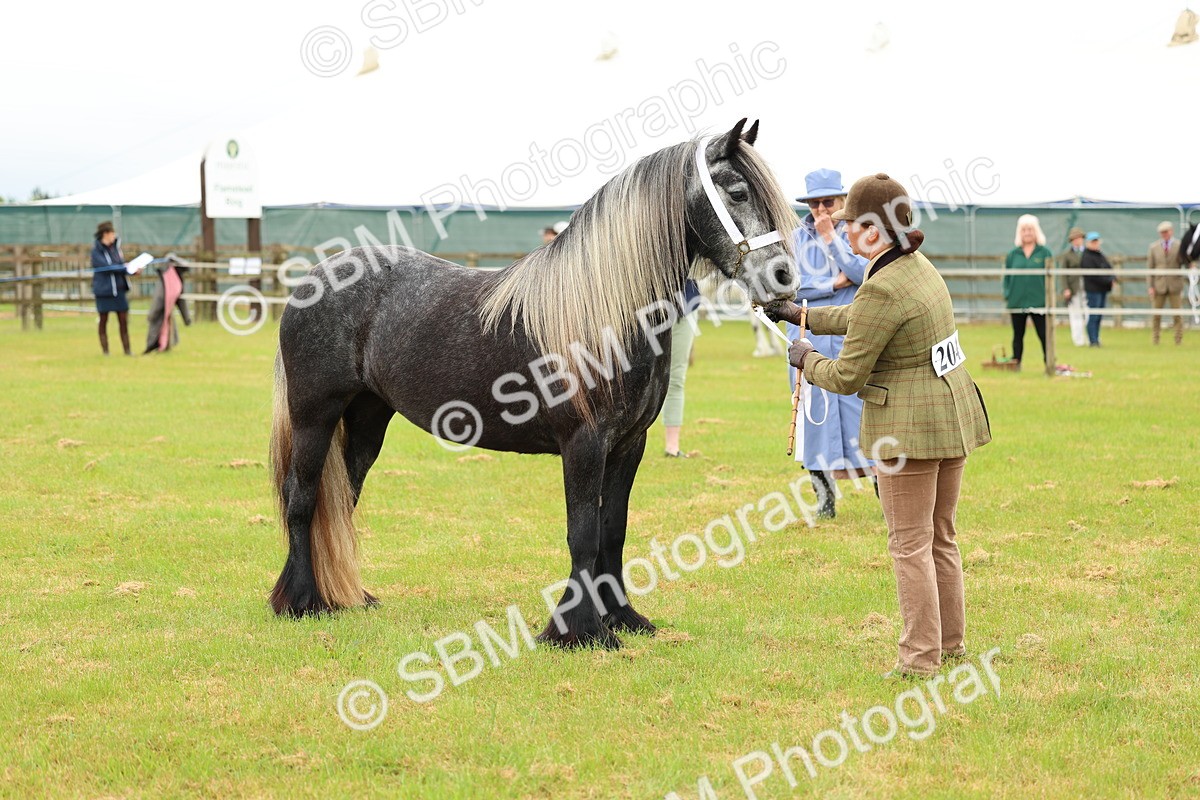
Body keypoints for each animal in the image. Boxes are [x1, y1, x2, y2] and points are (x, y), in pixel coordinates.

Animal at [268, 119, 800, 649]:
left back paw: (345, 597)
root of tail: (314, 278)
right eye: (737, 192)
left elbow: (613, 530)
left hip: (366, 420)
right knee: (303, 498)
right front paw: (578, 630)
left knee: (342, 501)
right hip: (315, 416)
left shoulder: (629, 444)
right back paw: (301, 602)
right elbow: (582, 534)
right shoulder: (584, 443)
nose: (783, 277)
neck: (602, 311)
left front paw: (622, 618)